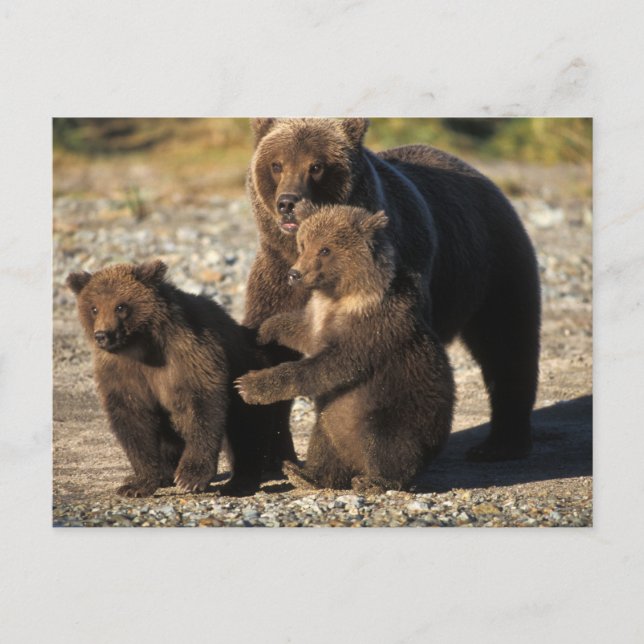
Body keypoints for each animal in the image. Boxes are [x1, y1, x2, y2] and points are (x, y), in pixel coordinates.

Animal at [67, 259, 269, 497]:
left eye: (121, 306)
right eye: (94, 308)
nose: (102, 335)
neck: (141, 346)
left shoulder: (187, 355)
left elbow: (202, 406)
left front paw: (190, 477)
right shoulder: (121, 372)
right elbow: (133, 419)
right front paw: (137, 484)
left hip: (242, 369)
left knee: (243, 428)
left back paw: (240, 480)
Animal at [236, 206, 455, 493]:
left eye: (325, 249)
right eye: (303, 244)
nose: (295, 274)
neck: (342, 296)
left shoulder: (371, 330)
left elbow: (330, 366)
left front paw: (249, 385)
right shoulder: (320, 316)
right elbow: (300, 330)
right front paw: (263, 330)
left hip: (399, 415)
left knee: (384, 442)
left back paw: (374, 480)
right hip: (333, 421)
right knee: (324, 439)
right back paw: (305, 474)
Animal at [244, 117, 541, 462]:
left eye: (316, 166)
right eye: (276, 164)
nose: (288, 203)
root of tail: (484, 177)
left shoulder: (400, 273)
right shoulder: (277, 276)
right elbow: (269, 340)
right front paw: (271, 449)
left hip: (494, 265)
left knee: (507, 342)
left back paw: (500, 444)